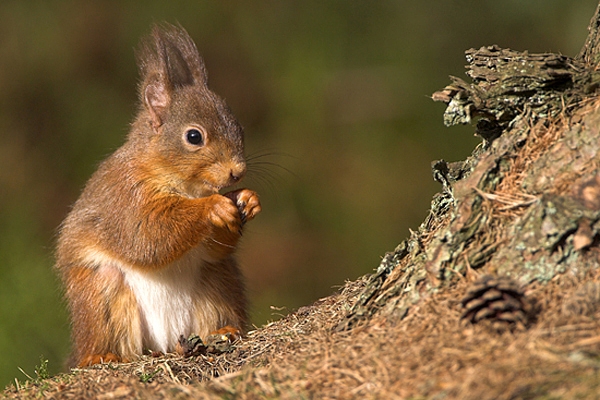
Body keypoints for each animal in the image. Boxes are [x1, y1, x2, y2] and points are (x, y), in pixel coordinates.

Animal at [55, 21, 260, 366]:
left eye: (239, 128)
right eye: (194, 137)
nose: (237, 172)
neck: (187, 187)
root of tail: (166, 342)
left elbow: (216, 248)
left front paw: (246, 199)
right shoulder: (125, 197)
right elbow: (147, 237)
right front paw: (213, 208)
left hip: (216, 281)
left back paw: (224, 330)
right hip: (101, 293)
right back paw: (102, 355)